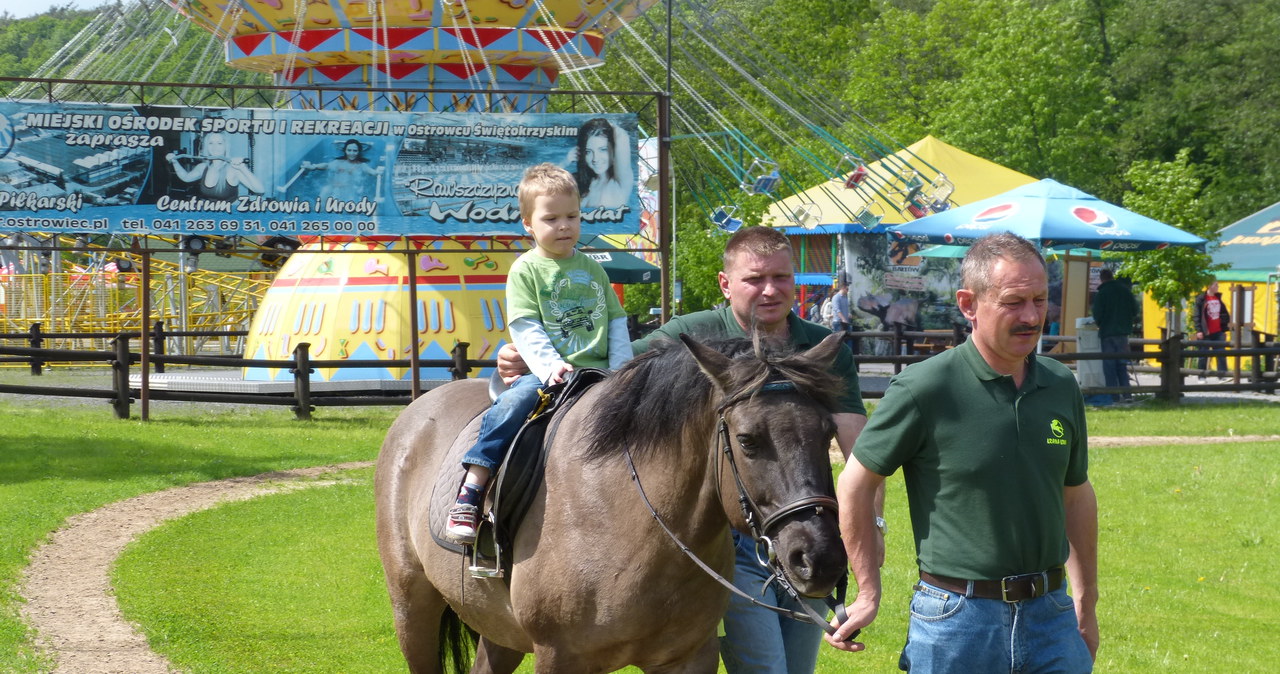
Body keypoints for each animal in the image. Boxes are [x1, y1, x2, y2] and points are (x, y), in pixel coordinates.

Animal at [373, 335, 849, 670]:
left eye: (828, 433)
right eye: (748, 441)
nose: (819, 559)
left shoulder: (689, 658)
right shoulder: (559, 657)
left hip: (499, 628)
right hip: (412, 610)